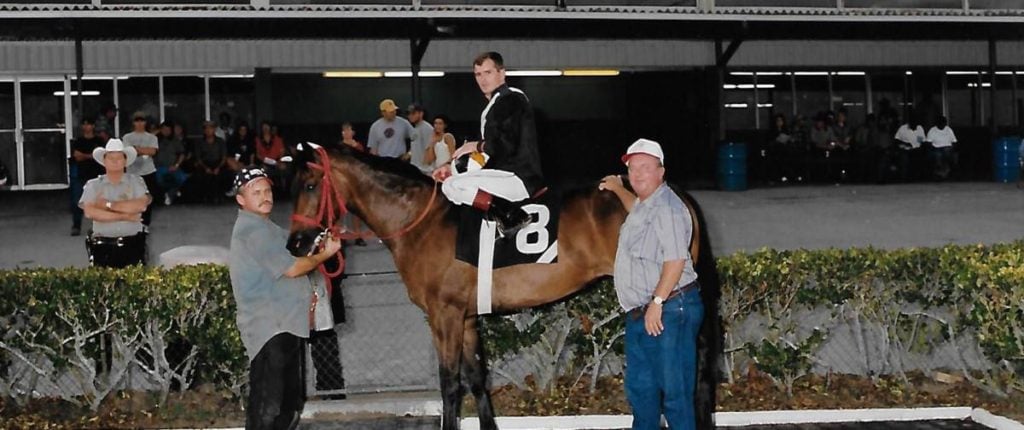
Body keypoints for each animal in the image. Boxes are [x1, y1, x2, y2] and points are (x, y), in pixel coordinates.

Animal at [284, 145, 724, 430]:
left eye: (310, 186)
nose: (296, 244)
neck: (422, 221)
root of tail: (673, 192)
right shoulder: (465, 319)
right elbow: (477, 379)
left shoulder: (444, 316)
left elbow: (450, 385)